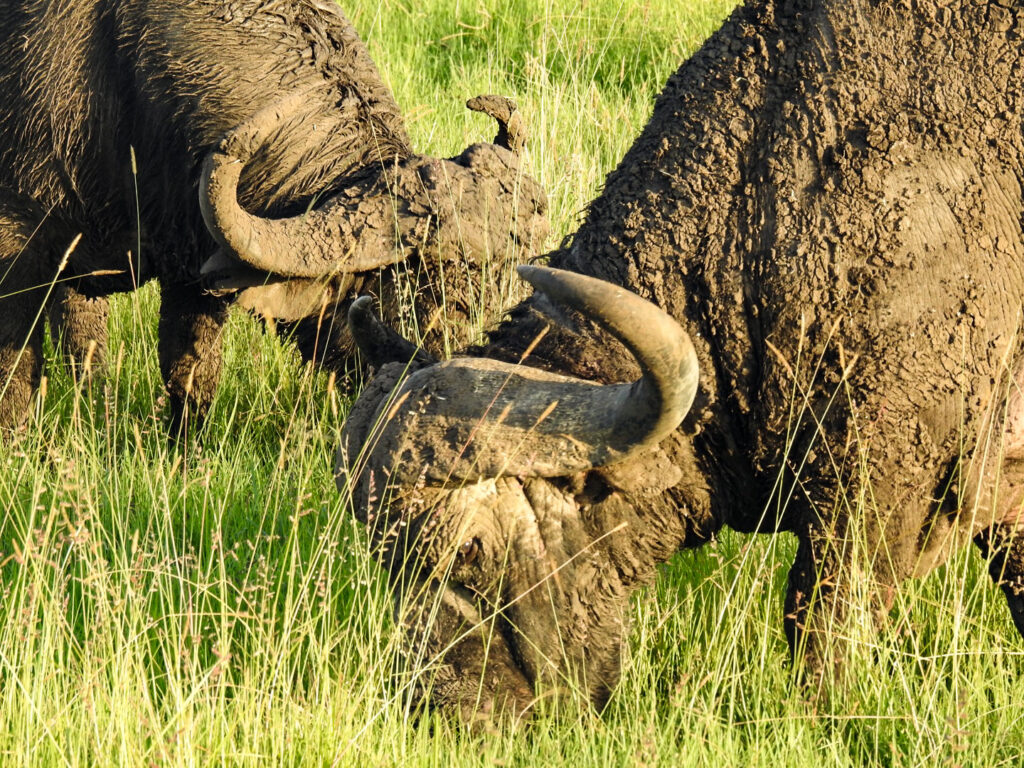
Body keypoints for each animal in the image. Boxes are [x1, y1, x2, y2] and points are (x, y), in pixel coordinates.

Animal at [0, 0, 548, 434]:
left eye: (498, 293)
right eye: (435, 303)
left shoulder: (192, 265)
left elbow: (191, 372)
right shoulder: (16, 245)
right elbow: (15, 374)